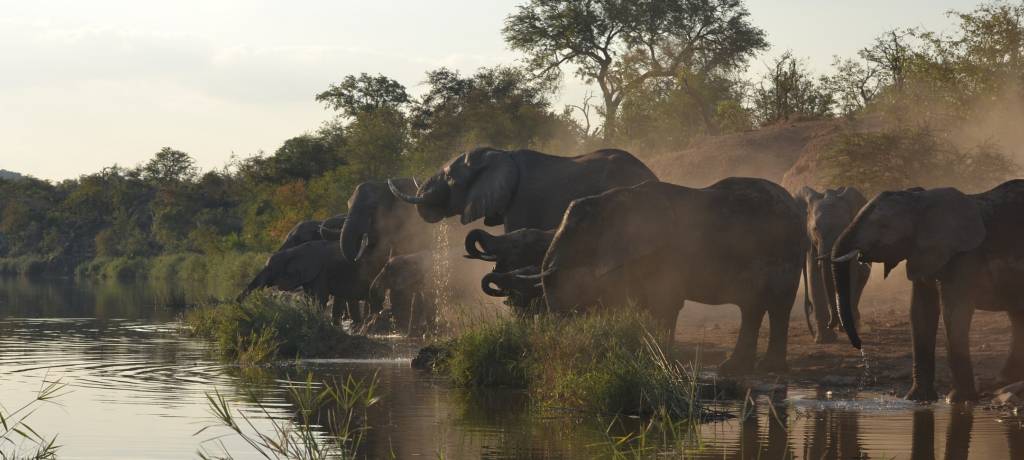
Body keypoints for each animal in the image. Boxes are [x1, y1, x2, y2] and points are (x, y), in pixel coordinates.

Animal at [532, 177, 802, 374]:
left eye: (579, 237)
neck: (613, 198)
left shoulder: (667, 253)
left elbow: (665, 304)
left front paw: (662, 365)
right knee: (752, 307)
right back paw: (734, 369)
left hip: (785, 252)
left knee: (778, 306)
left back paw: (767, 369)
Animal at [794, 185, 868, 340]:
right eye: (815, 228)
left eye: (846, 227)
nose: (831, 323)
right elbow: (814, 275)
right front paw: (824, 340)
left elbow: (850, 273)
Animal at [831, 179, 1024, 401]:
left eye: (883, 226)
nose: (859, 345)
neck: (922, 201)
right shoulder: (921, 253)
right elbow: (921, 311)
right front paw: (916, 399)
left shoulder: (965, 256)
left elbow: (954, 311)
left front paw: (958, 400)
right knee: (1017, 316)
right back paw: (1002, 381)